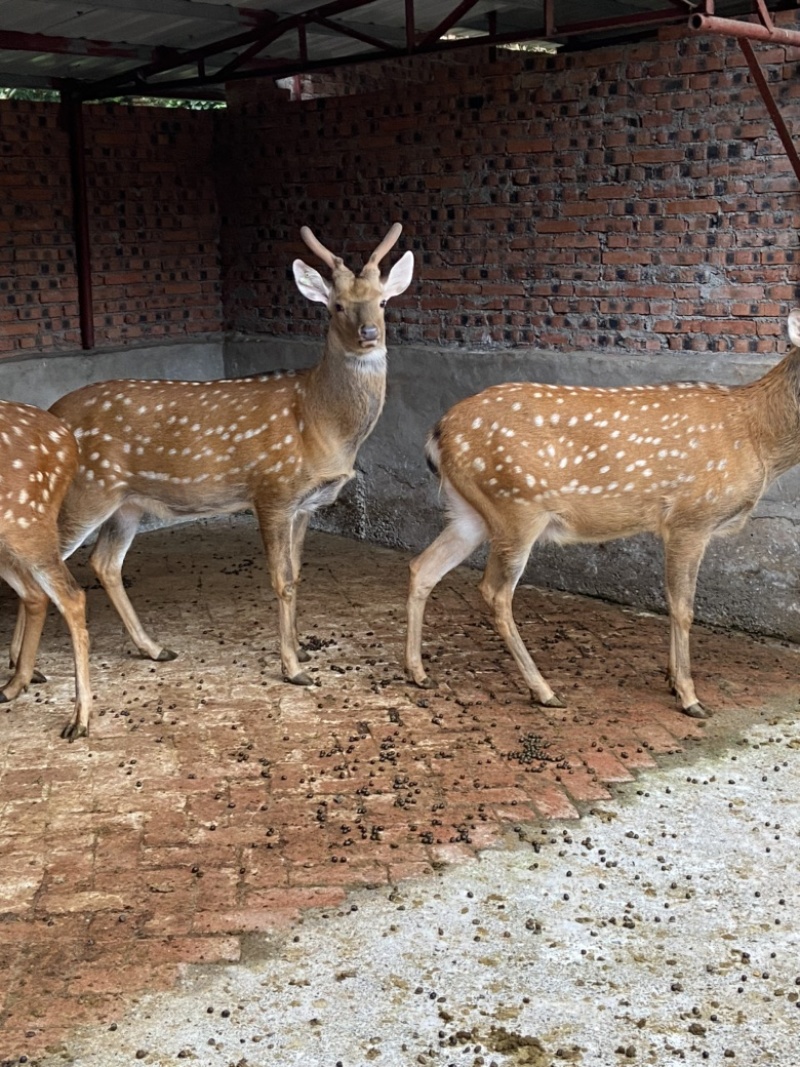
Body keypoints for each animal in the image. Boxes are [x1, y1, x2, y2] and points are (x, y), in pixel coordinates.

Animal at [0, 401, 92, 740]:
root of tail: (70, 442)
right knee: (36, 594)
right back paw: (15, 684)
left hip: (29, 520)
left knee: (71, 596)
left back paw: (79, 719)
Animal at [45, 224, 414, 686]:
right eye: (337, 305)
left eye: (383, 301)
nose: (369, 333)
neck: (319, 421)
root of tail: (50, 414)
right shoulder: (272, 491)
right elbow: (281, 580)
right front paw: (293, 669)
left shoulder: (305, 504)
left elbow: (298, 576)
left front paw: (301, 650)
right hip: (84, 492)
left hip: (125, 503)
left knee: (103, 563)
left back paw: (154, 648)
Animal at [407, 310, 800, 720]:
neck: (758, 439)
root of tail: (438, 434)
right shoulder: (691, 517)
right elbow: (682, 608)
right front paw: (690, 697)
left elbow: (673, 603)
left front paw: (673, 682)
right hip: (515, 507)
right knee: (494, 592)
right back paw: (543, 690)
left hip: (470, 512)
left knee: (423, 567)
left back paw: (419, 672)